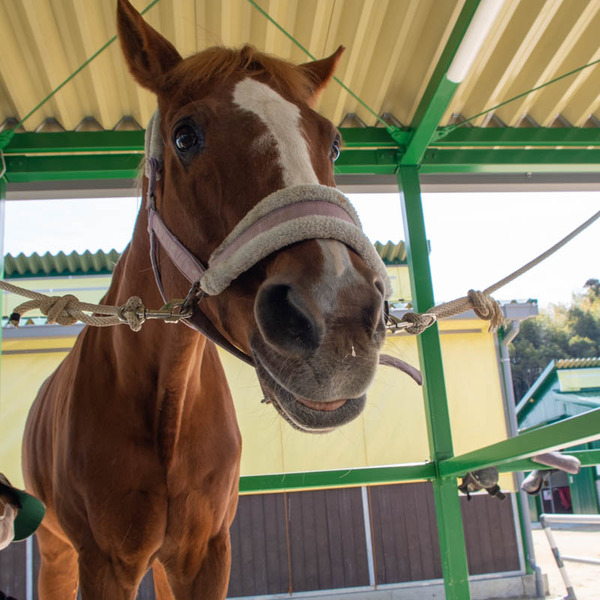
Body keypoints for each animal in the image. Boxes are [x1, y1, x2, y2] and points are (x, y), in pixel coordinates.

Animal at [21, 1, 391, 597]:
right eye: (184, 136)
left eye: (334, 142)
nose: (338, 319)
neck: (166, 404)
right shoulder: (104, 564)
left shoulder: (205, 556)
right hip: (57, 553)